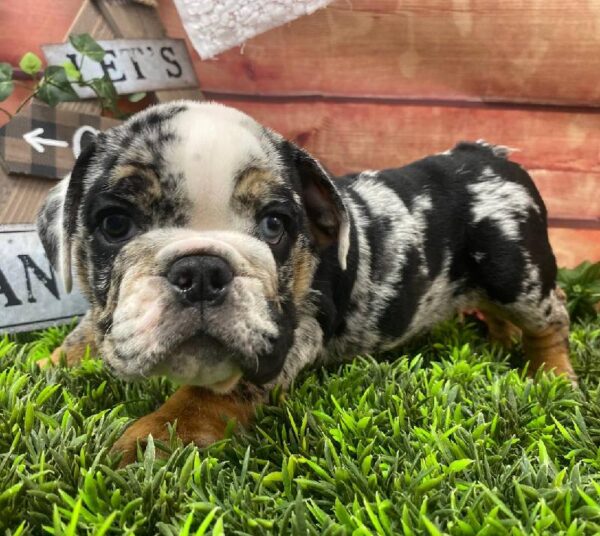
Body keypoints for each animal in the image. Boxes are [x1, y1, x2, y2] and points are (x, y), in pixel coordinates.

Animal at [36, 102, 572, 462]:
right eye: (114, 224)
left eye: (275, 224)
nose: (202, 270)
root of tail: (488, 155)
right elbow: (84, 333)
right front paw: (50, 365)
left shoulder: (289, 333)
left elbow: (211, 393)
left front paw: (151, 439)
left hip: (516, 274)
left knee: (553, 317)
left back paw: (553, 377)